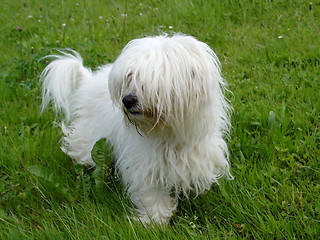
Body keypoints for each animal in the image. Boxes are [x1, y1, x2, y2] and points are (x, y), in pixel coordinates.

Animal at [41, 34, 234, 225]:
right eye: (130, 76)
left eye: (153, 81)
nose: (127, 100)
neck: (169, 134)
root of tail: (88, 81)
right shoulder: (146, 166)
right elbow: (153, 196)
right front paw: (154, 222)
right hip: (90, 137)